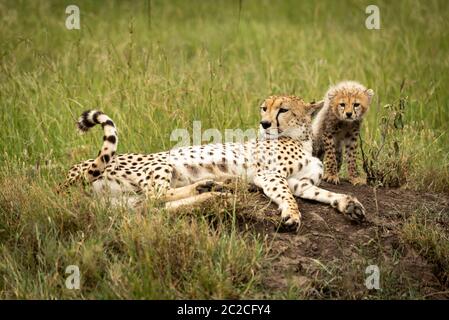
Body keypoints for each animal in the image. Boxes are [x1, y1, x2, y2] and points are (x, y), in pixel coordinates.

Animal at [60, 96, 364, 231]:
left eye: (283, 109)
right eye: (264, 108)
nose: (264, 124)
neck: (300, 138)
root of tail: (67, 176)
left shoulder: (301, 183)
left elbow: (325, 193)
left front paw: (349, 204)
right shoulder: (269, 175)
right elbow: (288, 197)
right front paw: (292, 214)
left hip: (124, 202)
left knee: (154, 207)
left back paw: (210, 191)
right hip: (160, 161)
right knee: (156, 195)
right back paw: (210, 188)